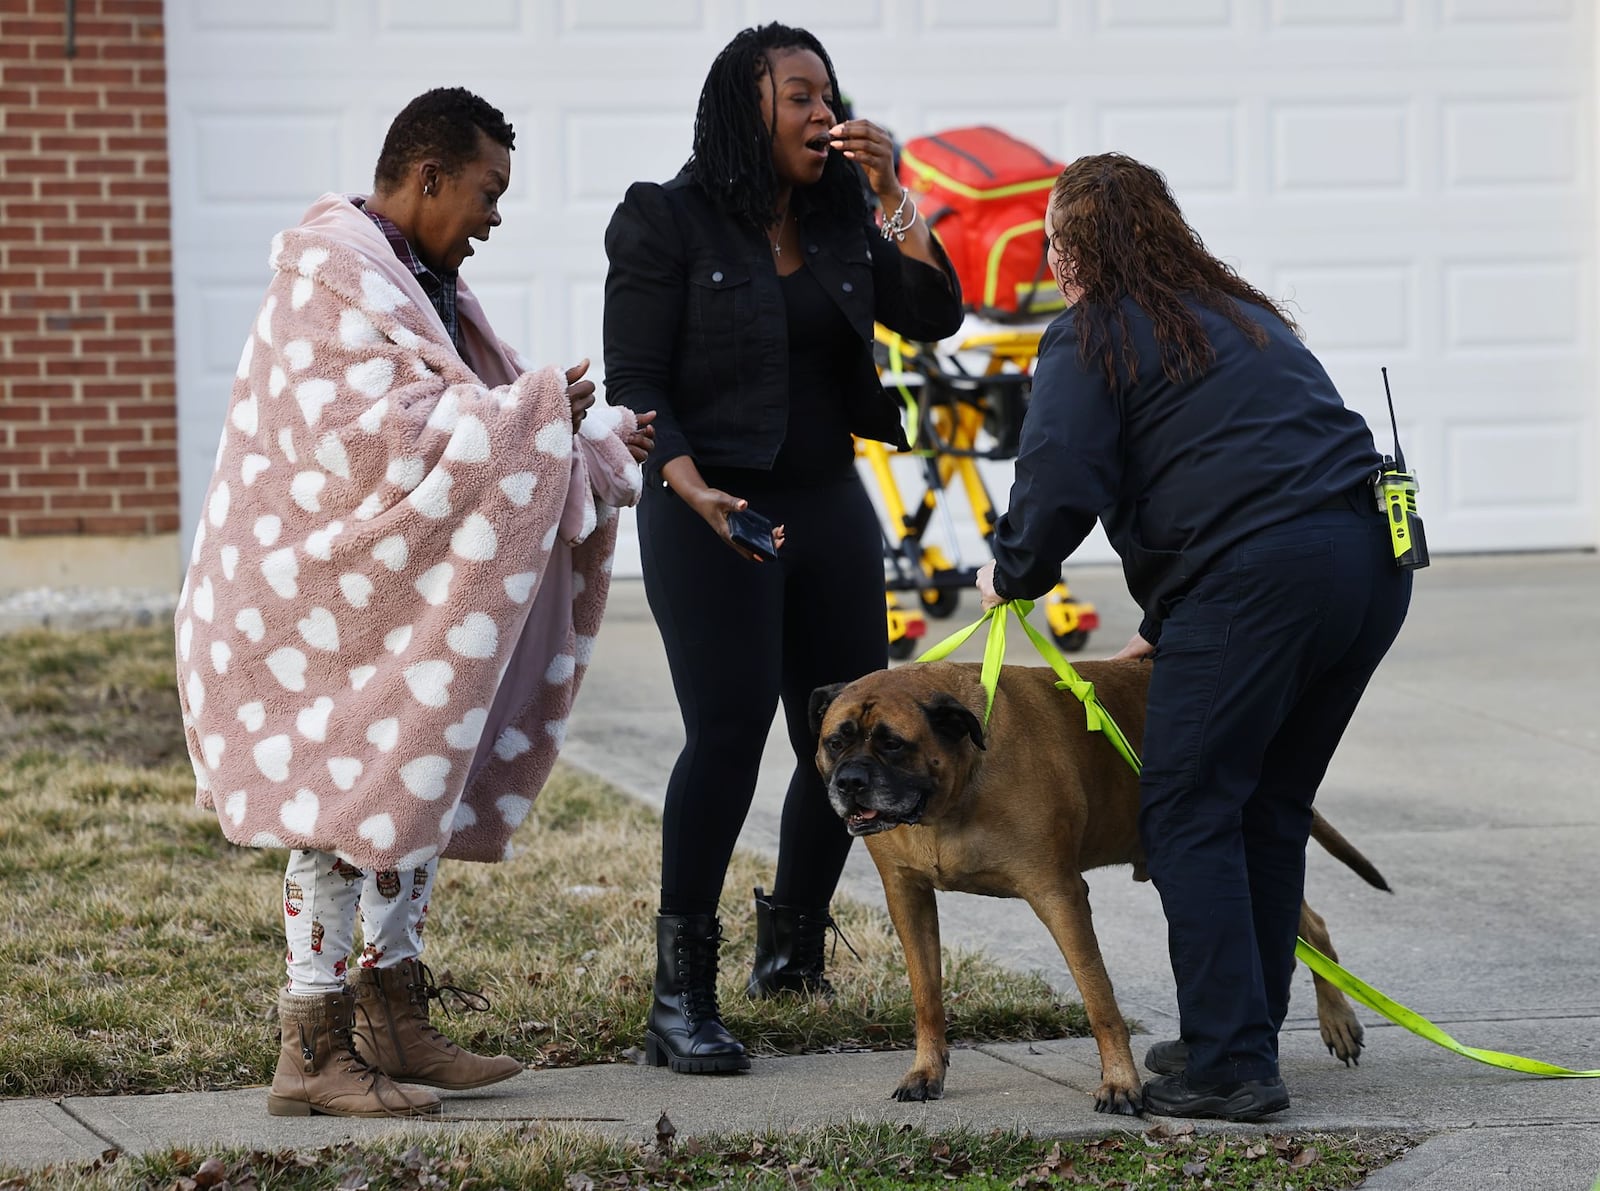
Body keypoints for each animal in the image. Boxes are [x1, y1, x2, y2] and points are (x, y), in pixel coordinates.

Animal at [812, 659, 1388, 1114]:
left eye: (893, 745)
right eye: (834, 742)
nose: (850, 782)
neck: (952, 794)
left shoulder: (1059, 894)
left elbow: (1100, 999)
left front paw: (1120, 1084)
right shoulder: (907, 895)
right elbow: (926, 994)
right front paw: (927, 1071)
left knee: (1311, 925)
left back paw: (1338, 1019)